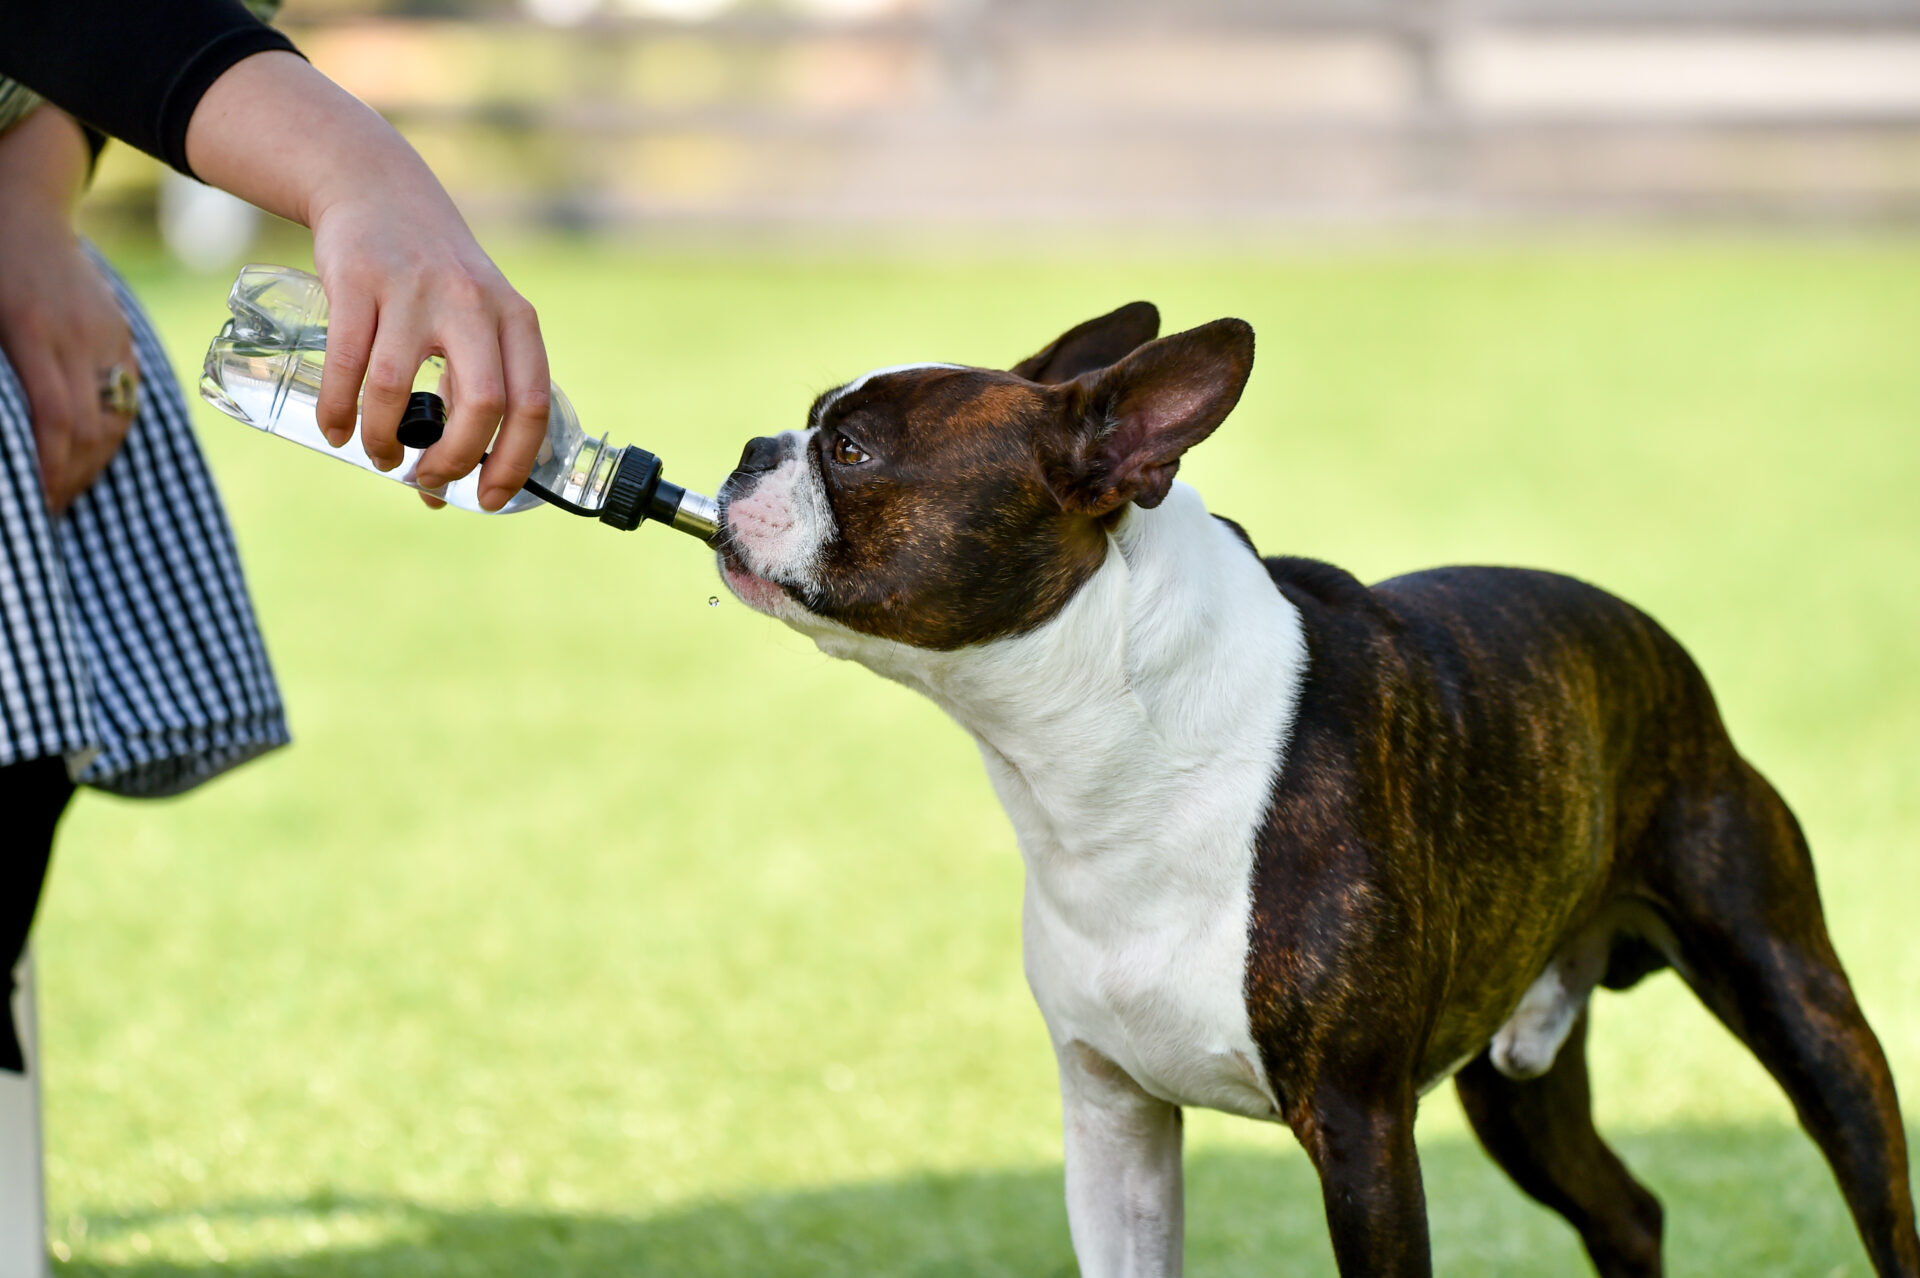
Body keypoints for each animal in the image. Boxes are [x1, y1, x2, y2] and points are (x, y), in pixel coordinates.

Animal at [710, 303, 1920, 1266]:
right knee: (1628, 1211)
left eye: (852, 451)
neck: (1099, 745)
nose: (750, 448)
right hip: (1515, 1085)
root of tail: (1663, 653)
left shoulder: (1360, 1130)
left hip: (1798, 1003)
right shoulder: (1113, 1122)